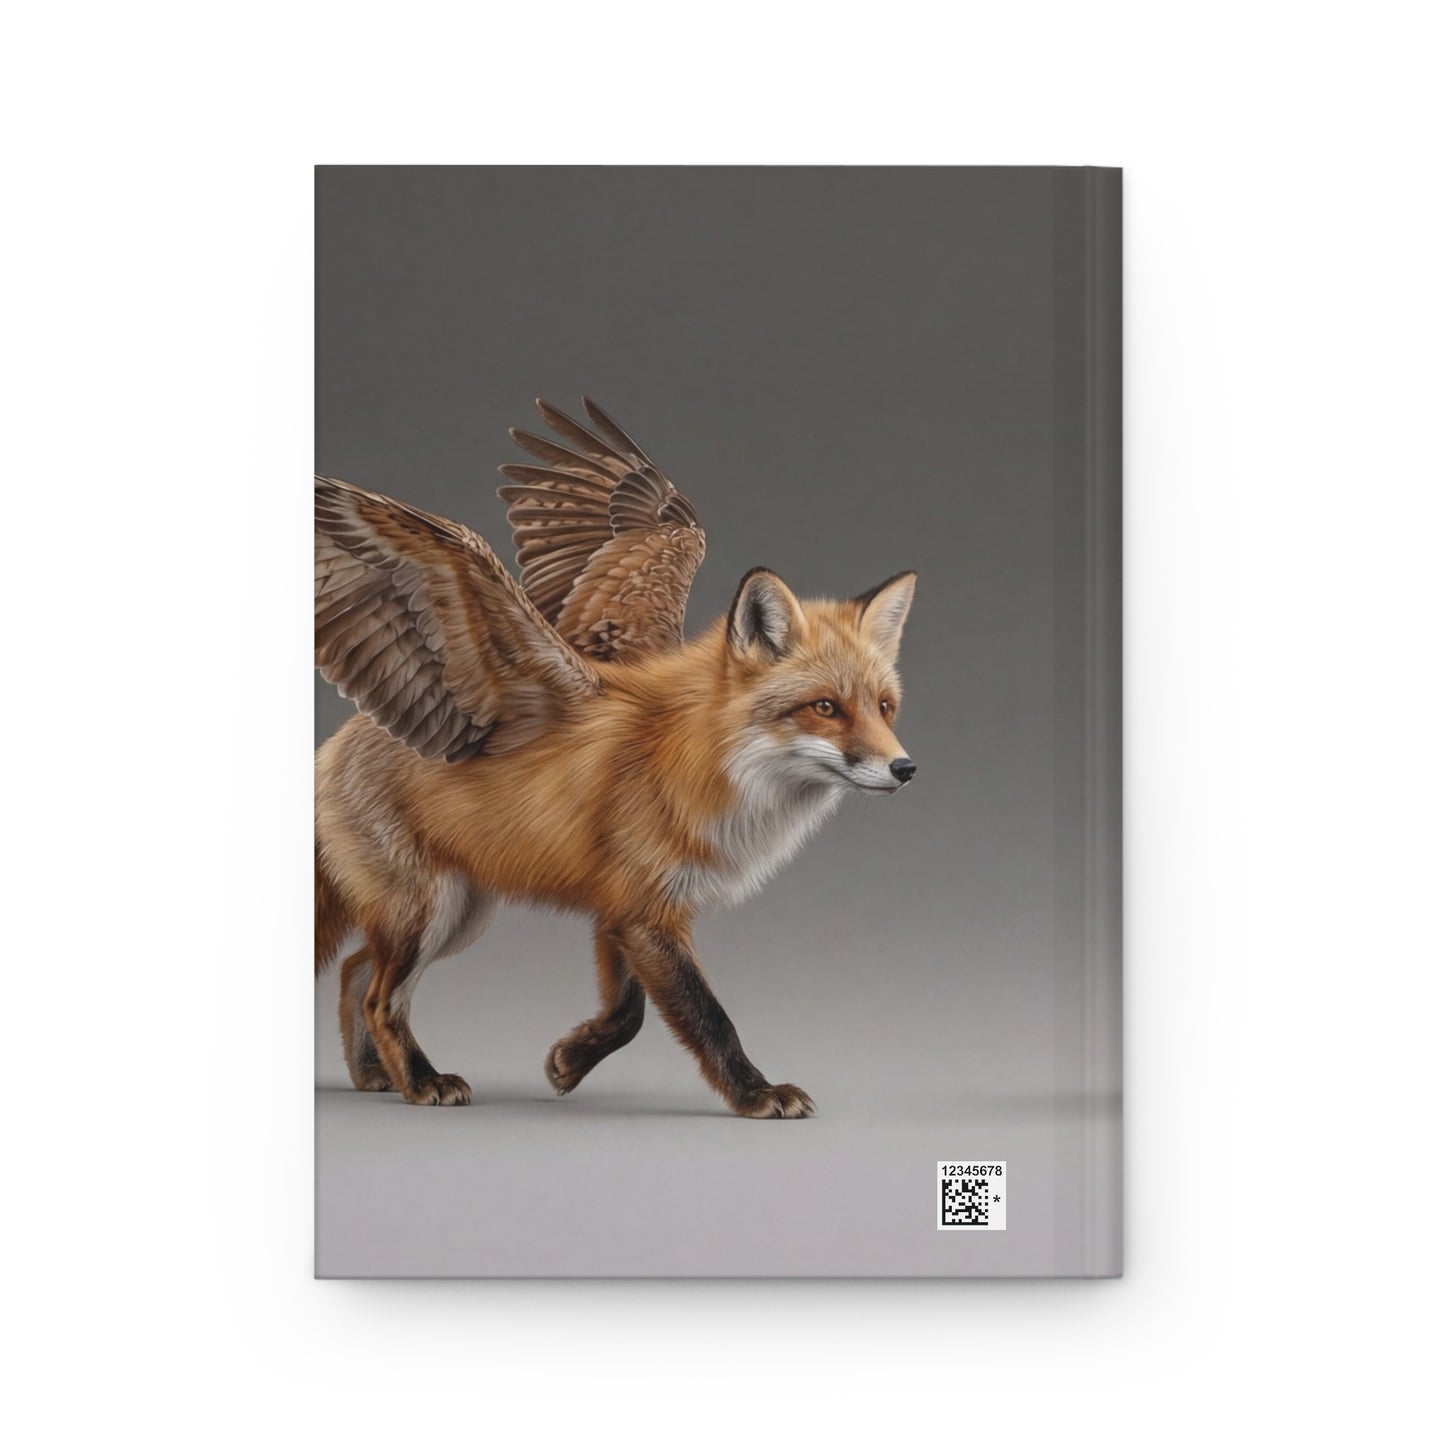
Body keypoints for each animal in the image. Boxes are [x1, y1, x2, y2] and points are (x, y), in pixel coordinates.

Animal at [315, 397, 917, 1119]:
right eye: (825, 707)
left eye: (884, 707)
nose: (905, 769)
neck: (702, 765)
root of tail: (335, 744)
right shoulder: (643, 908)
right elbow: (707, 1016)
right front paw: (755, 1093)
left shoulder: (623, 906)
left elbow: (629, 1013)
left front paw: (569, 1060)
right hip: (428, 911)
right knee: (380, 994)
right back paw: (421, 1079)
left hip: (459, 915)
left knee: (355, 972)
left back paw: (375, 1074)